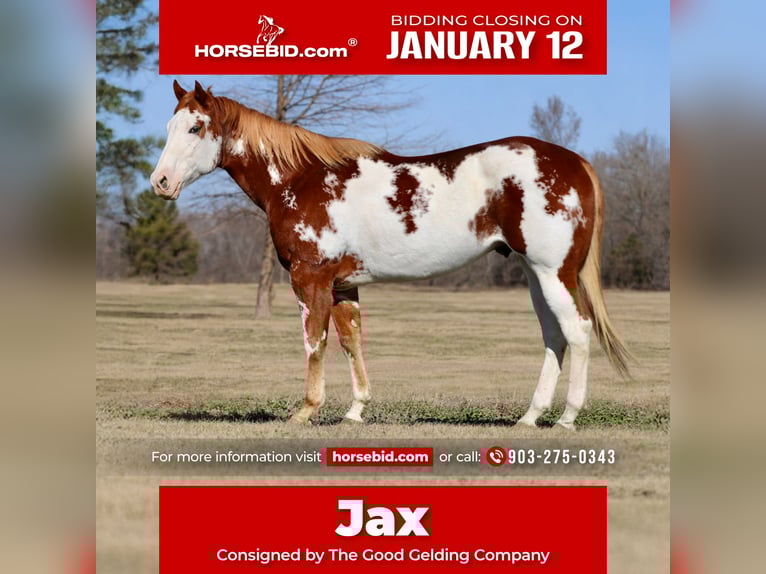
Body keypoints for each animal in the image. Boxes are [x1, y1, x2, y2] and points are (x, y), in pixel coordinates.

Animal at [150, 81, 631, 429]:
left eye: (195, 128)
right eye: (170, 128)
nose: (160, 182)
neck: (299, 179)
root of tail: (575, 162)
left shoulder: (311, 279)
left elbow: (315, 342)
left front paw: (305, 411)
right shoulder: (343, 285)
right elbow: (351, 341)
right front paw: (355, 411)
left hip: (553, 272)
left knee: (578, 331)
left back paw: (567, 418)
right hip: (537, 275)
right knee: (554, 336)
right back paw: (530, 418)